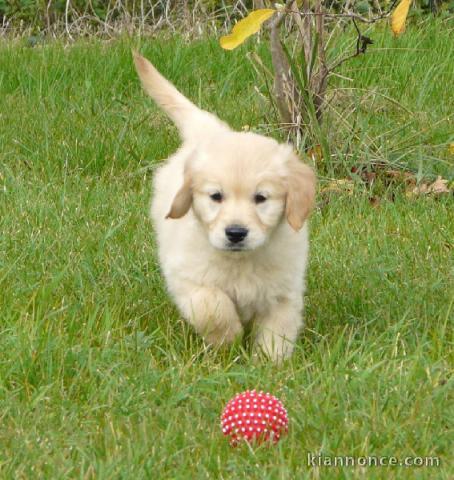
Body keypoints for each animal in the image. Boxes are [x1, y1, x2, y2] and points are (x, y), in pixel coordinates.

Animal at [133, 53, 314, 360]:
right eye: (216, 196)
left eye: (261, 198)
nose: (236, 233)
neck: (240, 261)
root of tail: (211, 133)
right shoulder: (190, 280)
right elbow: (214, 307)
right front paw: (228, 343)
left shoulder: (284, 292)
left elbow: (277, 330)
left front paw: (269, 363)